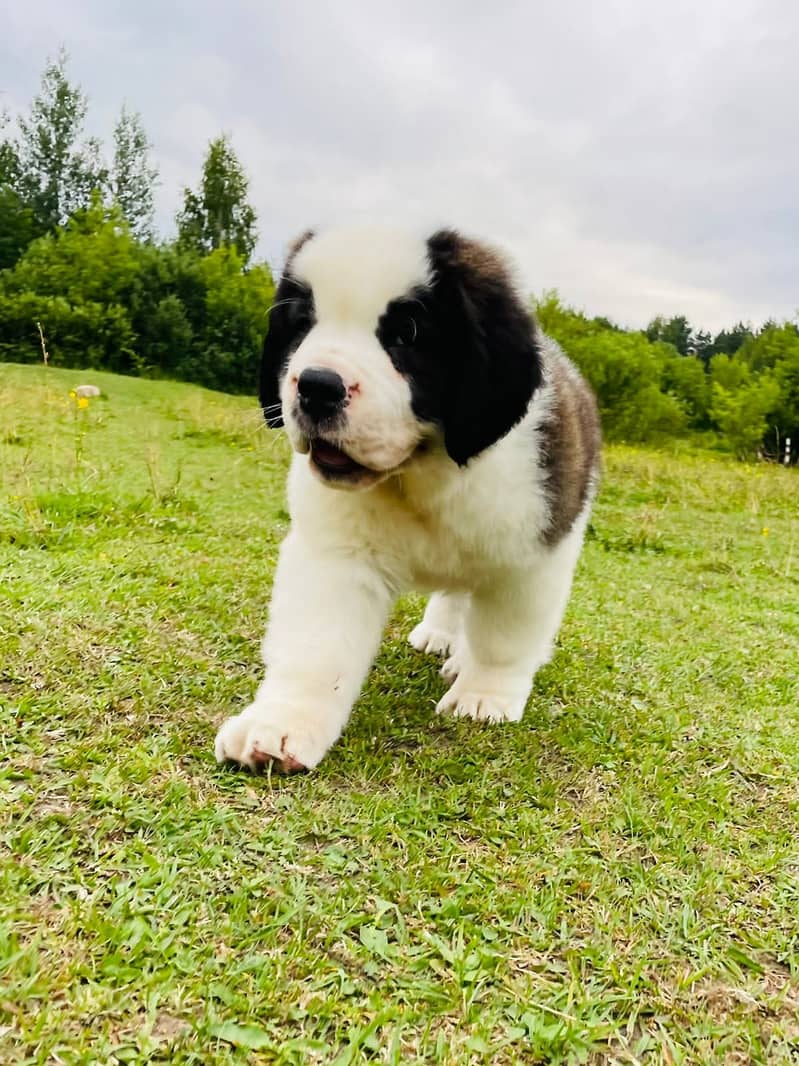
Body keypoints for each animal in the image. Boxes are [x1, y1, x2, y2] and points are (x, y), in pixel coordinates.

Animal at [213, 227, 600, 776]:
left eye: (407, 335)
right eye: (303, 323)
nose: (316, 385)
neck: (420, 472)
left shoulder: (533, 553)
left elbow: (504, 637)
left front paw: (484, 695)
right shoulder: (337, 555)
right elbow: (317, 646)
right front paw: (282, 722)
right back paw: (441, 632)